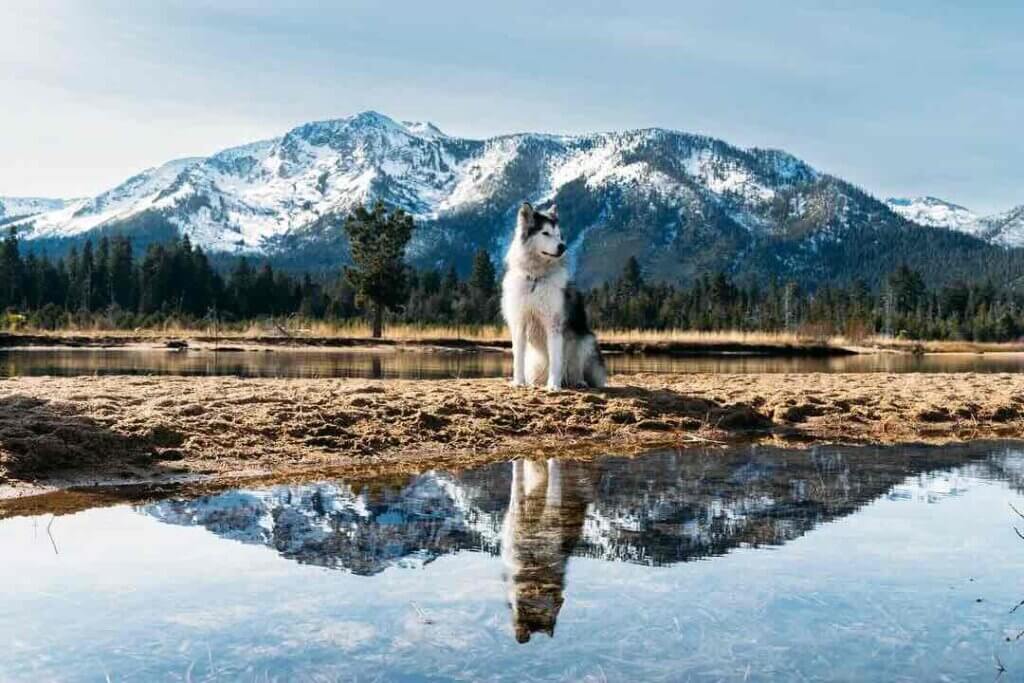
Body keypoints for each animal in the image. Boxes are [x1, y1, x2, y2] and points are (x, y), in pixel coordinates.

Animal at [499, 202, 602, 389]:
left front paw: (553, 385)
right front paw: (518, 382)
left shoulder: (553, 324)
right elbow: (518, 358)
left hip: (586, 341)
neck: (536, 279)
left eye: (559, 235)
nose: (563, 246)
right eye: (545, 233)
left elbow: (555, 359)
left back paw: (578, 382)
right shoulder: (519, 323)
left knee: (575, 368)